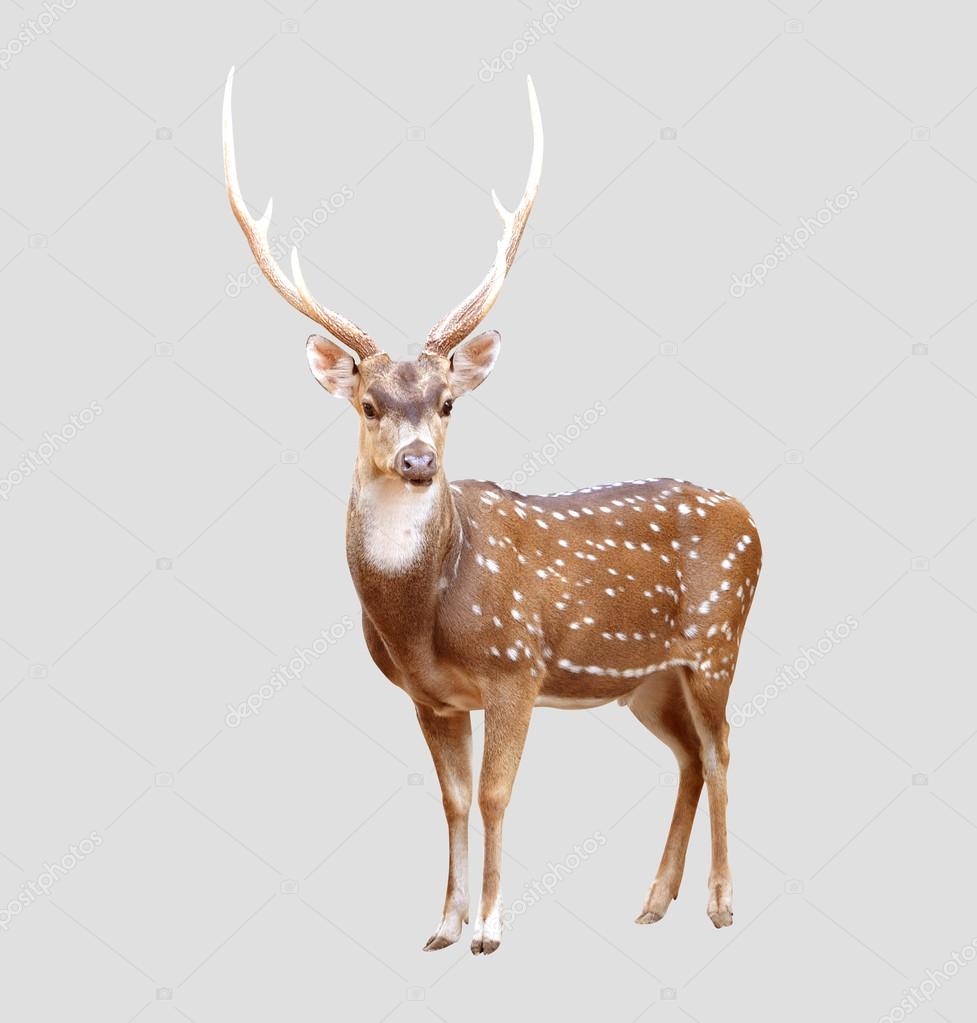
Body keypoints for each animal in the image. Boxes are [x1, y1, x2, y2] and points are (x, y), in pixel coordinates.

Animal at [222, 67, 762, 955]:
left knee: (721, 748)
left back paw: (720, 904)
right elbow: (449, 798)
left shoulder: (517, 665)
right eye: (369, 404)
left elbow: (495, 792)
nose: (417, 461)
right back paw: (652, 901)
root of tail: (752, 518)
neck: (423, 614)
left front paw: (490, 928)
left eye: (447, 402)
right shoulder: (430, 695)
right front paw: (441, 923)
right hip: (646, 678)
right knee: (687, 754)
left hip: (718, 636)